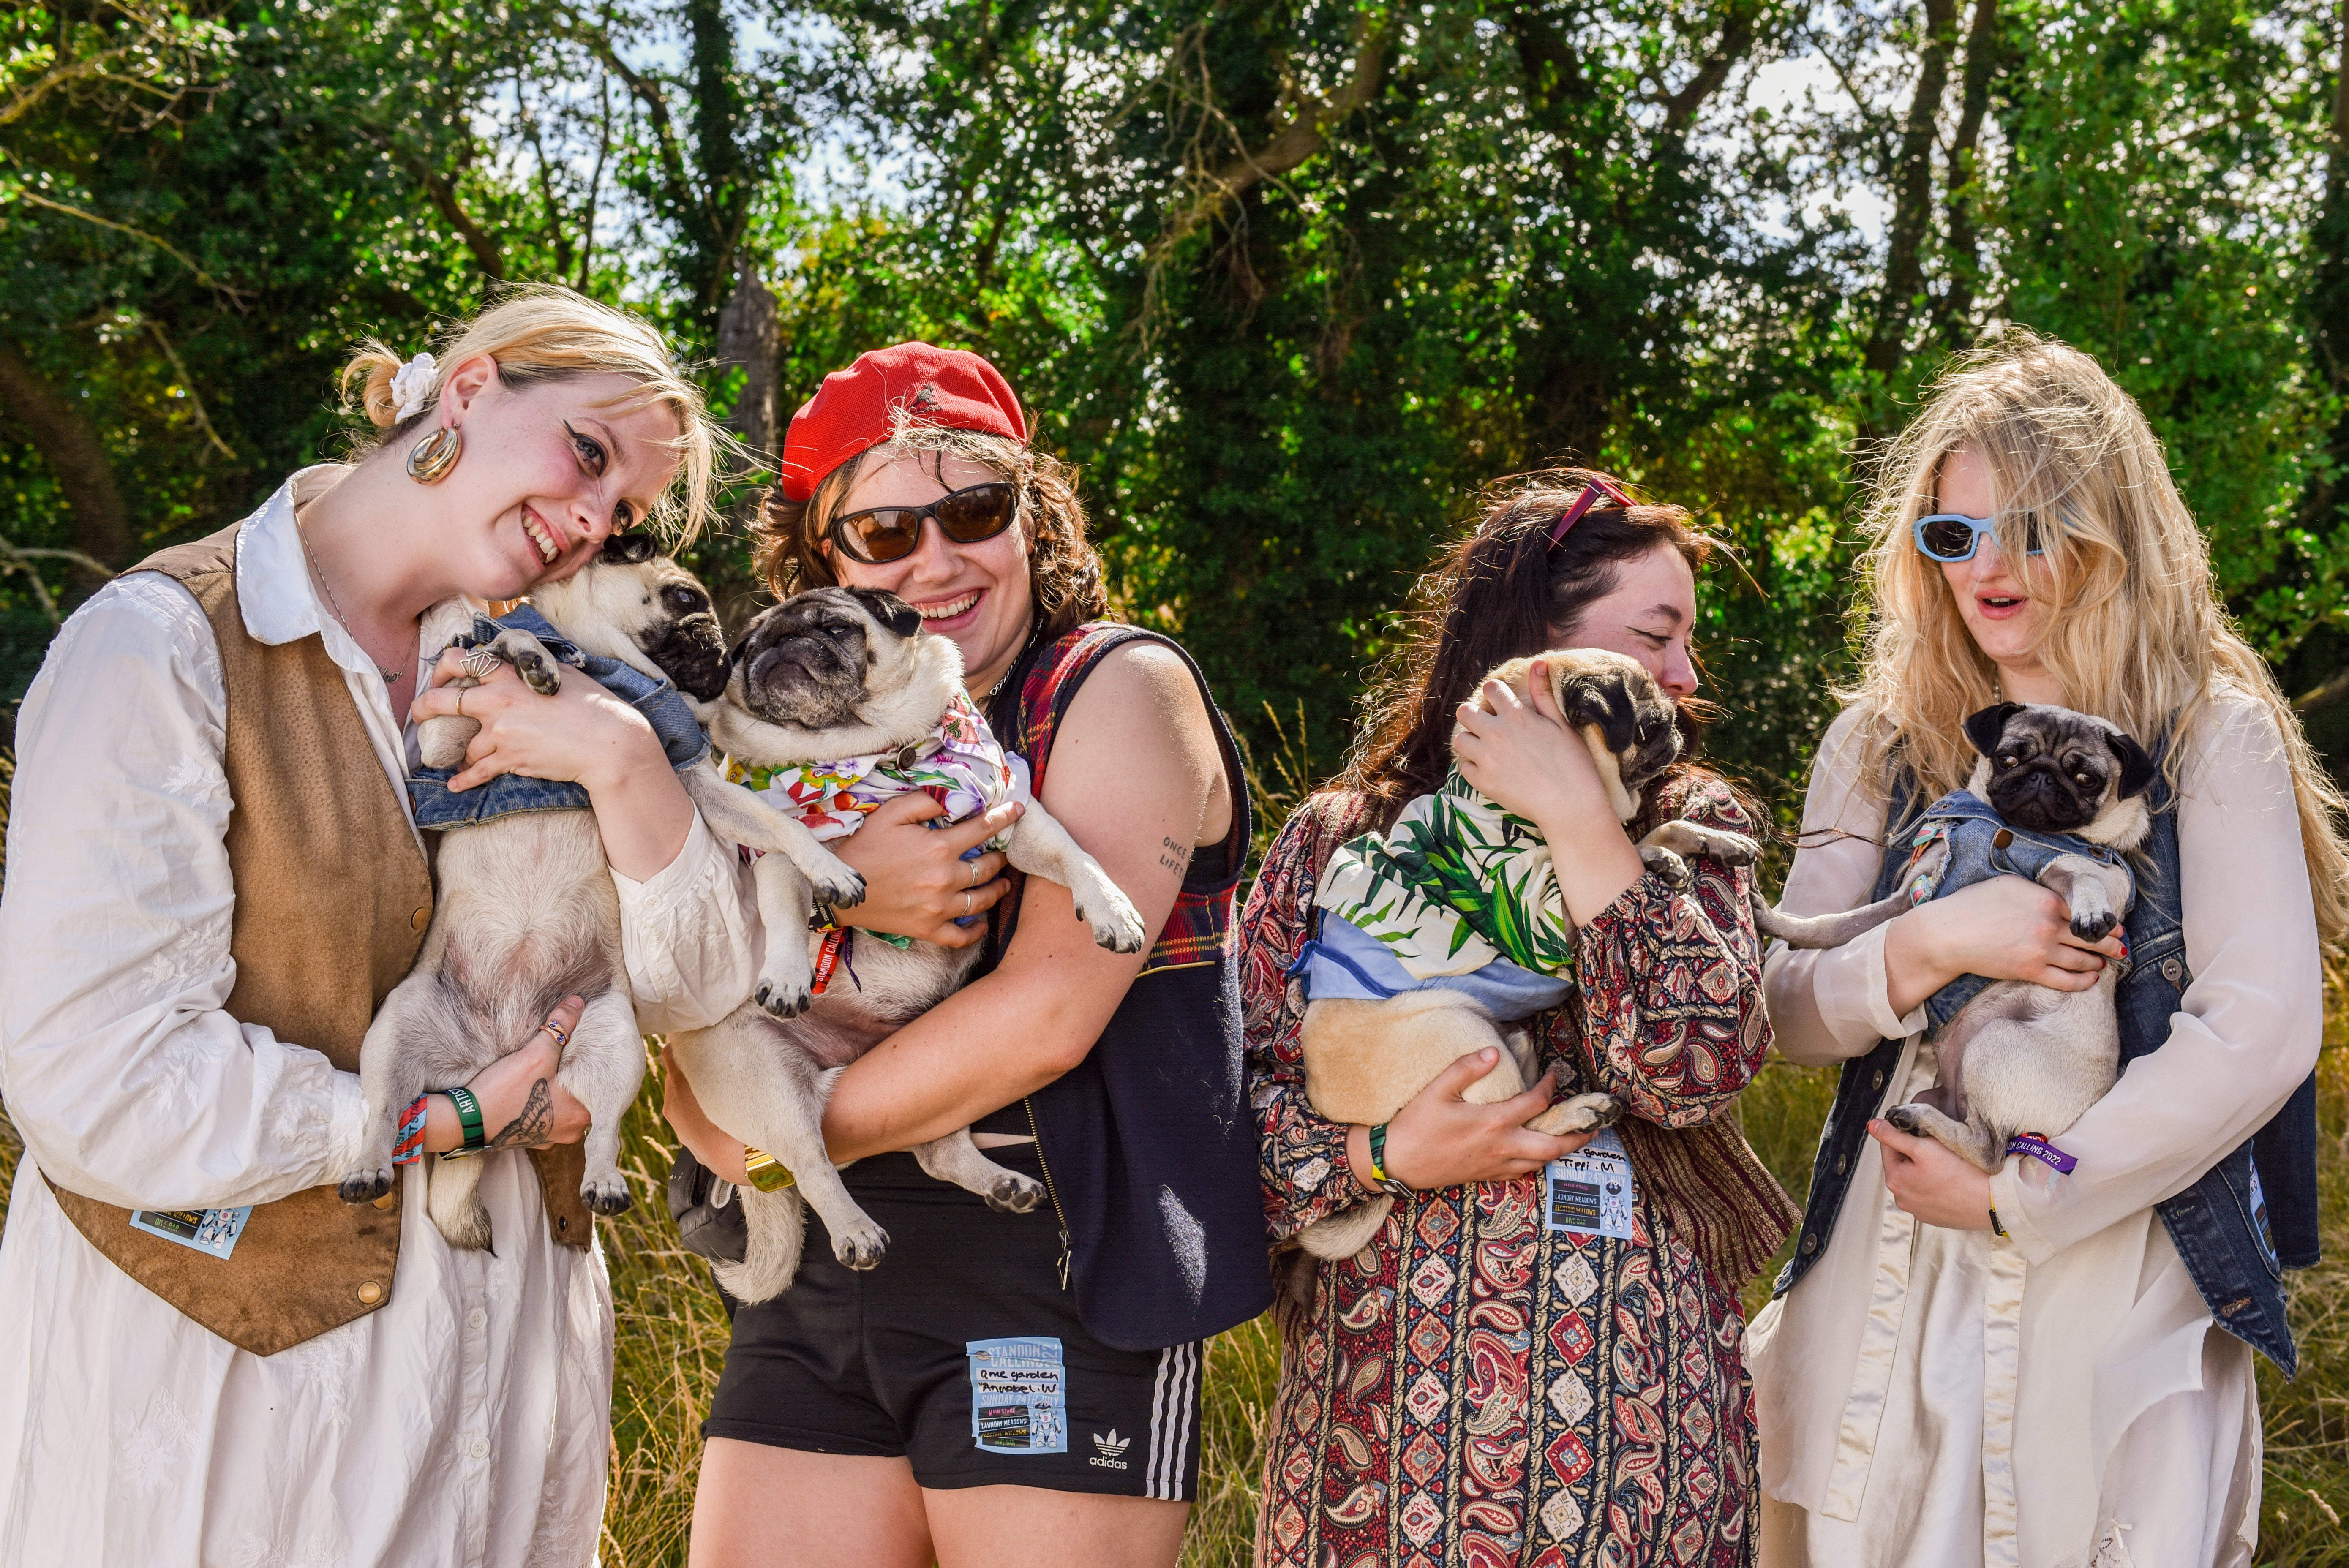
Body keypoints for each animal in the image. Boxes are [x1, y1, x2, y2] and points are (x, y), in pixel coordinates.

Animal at [667, 582, 1151, 1305]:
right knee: (811, 1163)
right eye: (747, 647)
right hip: (767, 1078)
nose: (780, 645)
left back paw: (1003, 1185)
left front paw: (1112, 909)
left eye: (834, 627)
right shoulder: (779, 853)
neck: (872, 749)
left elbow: (1077, 855)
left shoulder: (1016, 816)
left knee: (935, 1149)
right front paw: (787, 974)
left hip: (946, 1060)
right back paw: (856, 1232)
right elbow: (785, 909)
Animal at [1287, 648, 1766, 1258]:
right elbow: (1634, 843)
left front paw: (1714, 841)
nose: (1678, 730)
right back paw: (1579, 1108)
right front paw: (1661, 856)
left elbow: (1661, 827)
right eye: (1650, 724)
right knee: (1521, 1123)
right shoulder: (1539, 918)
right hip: (1458, 1031)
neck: (1502, 805)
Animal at [1757, 704, 2151, 1169]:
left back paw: (1918, 1119)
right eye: (2009, 759)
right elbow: (1836, 924)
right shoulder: (1910, 898)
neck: (2009, 829)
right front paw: (1784, 926)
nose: (2042, 777)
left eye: (2086, 778)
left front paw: (2090, 909)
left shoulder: (2089, 872)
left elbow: (2083, 875)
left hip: (1995, 1041)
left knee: (1989, 1152)